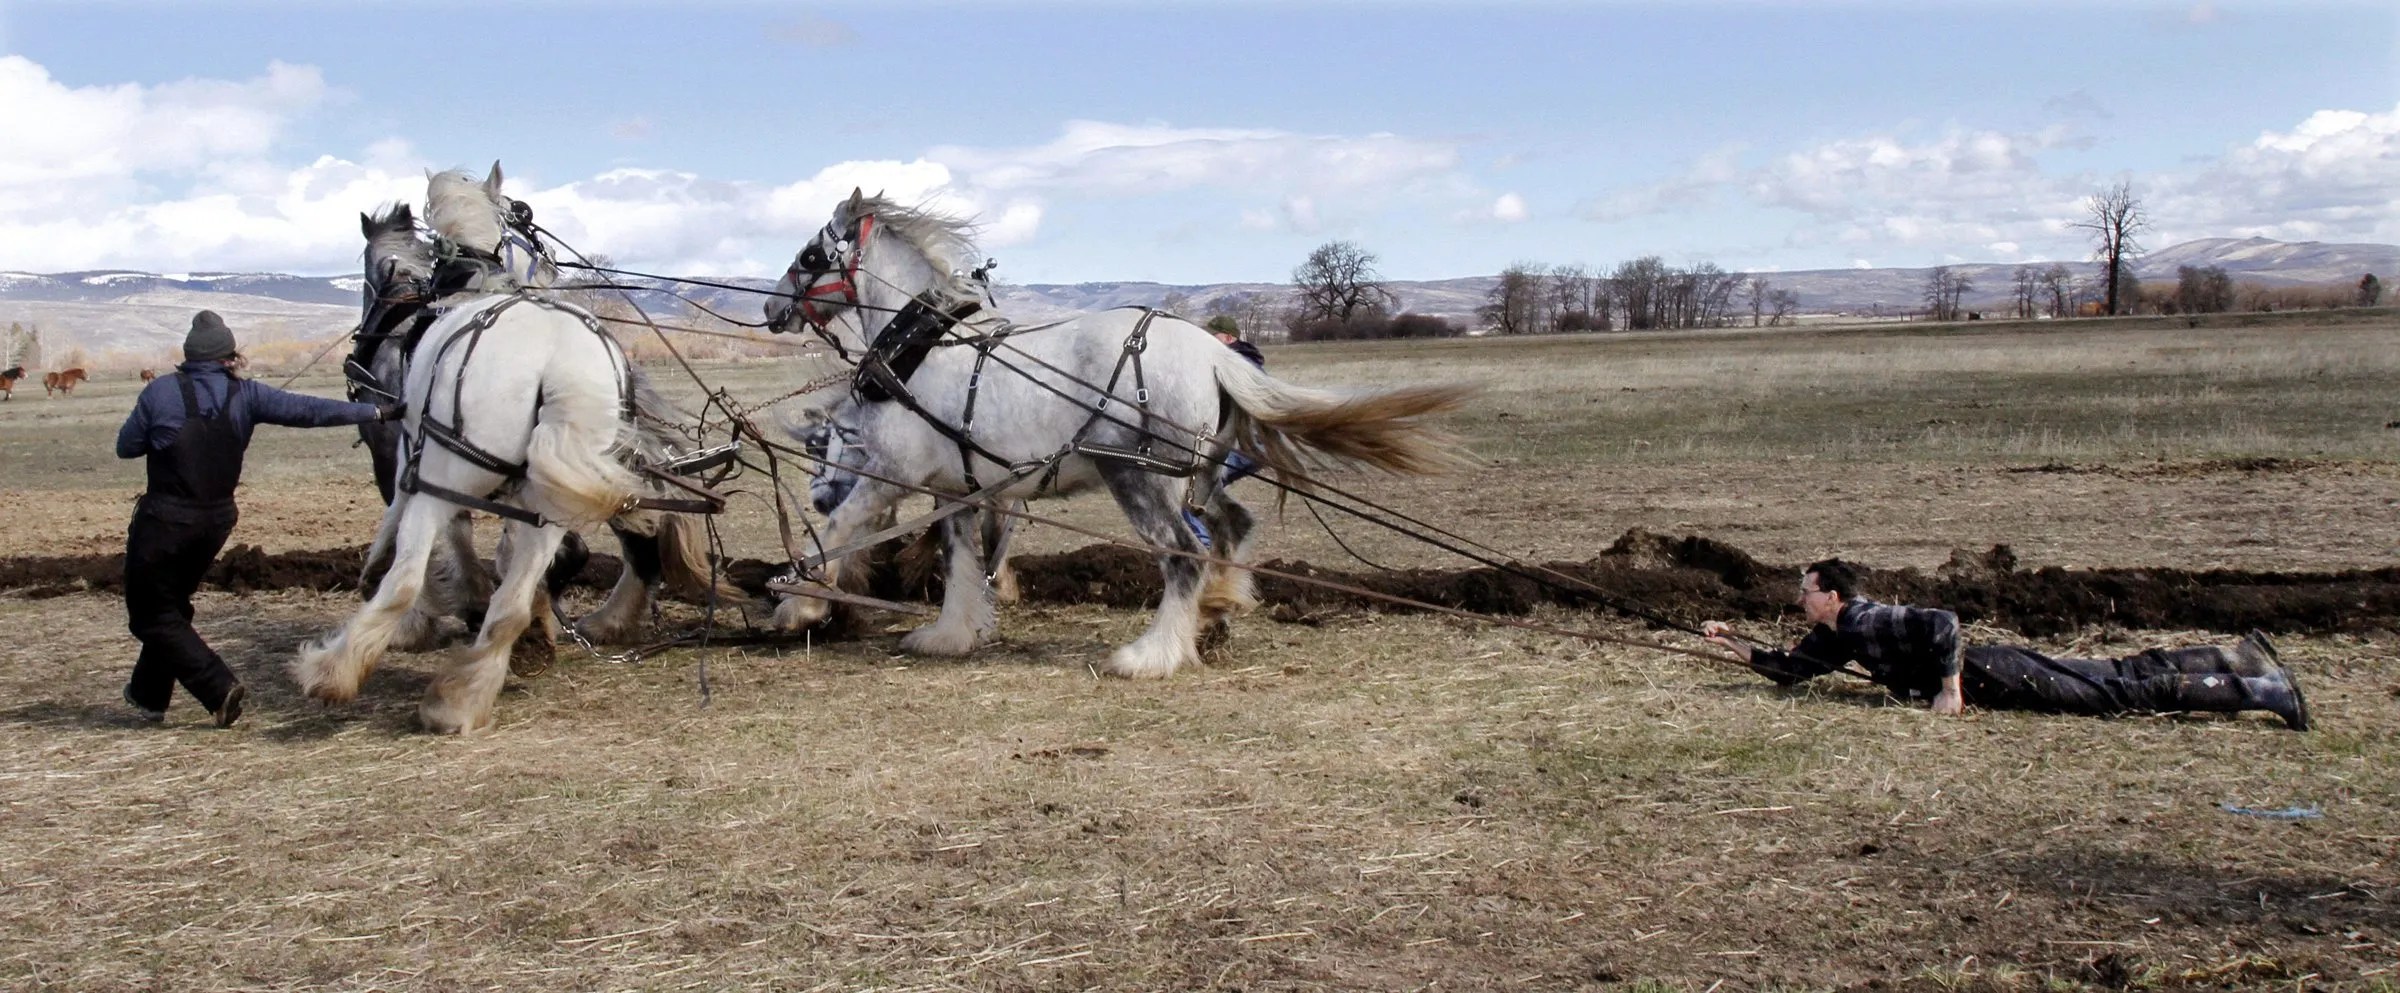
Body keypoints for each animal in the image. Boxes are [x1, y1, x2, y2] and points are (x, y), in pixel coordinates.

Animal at [299, 166, 732, 733]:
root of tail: (555, 356)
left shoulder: (401, 459)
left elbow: (435, 545)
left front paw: (430, 617)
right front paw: (530, 625)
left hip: (447, 476)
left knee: (407, 578)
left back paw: (336, 670)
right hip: (565, 488)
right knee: (537, 587)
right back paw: (488, 679)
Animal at [765, 190, 1471, 678]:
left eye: (807, 256)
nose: (771, 307)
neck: (920, 343)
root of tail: (1212, 353)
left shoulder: (891, 474)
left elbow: (837, 530)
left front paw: (800, 604)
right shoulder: (960, 489)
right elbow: (961, 561)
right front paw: (951, 634)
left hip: (1137, 473)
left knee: (1183, 552)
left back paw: (1152, 654)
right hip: (1197, 471)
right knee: (1232, 526)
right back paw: (1218, 607)